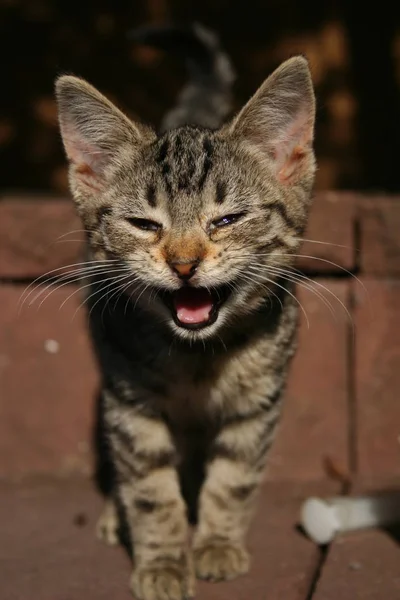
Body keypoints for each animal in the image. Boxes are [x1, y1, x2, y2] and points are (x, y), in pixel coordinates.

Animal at [54, 22, 316, 600]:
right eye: (144, 224)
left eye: (227, 219)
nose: (183, 263)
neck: (198, 356)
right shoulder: (130, 402)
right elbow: (150, 488)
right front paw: (163, 562)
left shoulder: (258, 403)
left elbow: (234, 475)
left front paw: (217, 543)